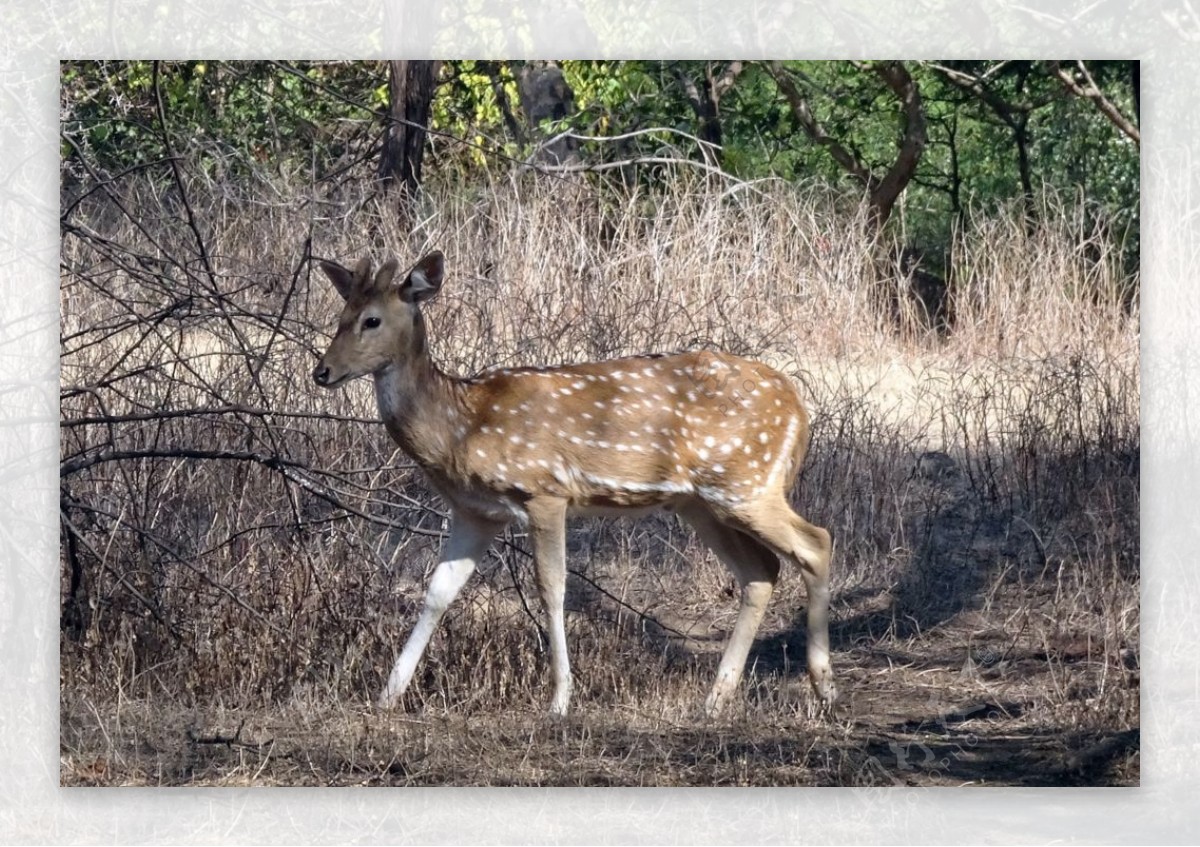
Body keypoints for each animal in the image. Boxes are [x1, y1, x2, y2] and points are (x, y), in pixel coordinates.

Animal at [309, 249, 835, 710]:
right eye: (340, 314)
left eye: (371, 320)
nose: (322, 372)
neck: (462, 426)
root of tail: (798, 408)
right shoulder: (476, 510)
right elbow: (438, 591)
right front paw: (387, 695)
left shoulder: (544, 489)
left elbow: (552, 588)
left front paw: (560, 700)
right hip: (699, 501)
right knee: (761, 570)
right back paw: (716, 698)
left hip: (746, 481)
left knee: (816, 542)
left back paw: (823, 685)